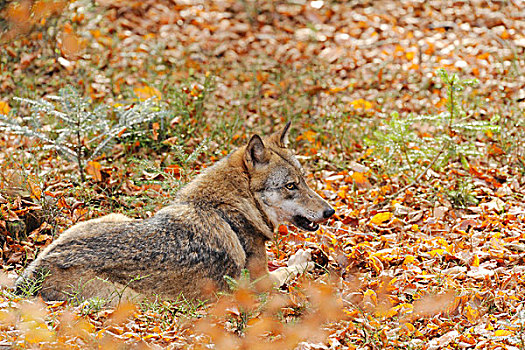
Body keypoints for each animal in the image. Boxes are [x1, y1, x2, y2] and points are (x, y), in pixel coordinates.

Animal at [17, 123, 336, 304]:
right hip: (132, 299)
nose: (330, 211)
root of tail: (30, 276)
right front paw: (304, 259)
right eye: (291, 186)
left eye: (304, 180)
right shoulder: (258, 286)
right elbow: (288, 269)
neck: (231, 210)